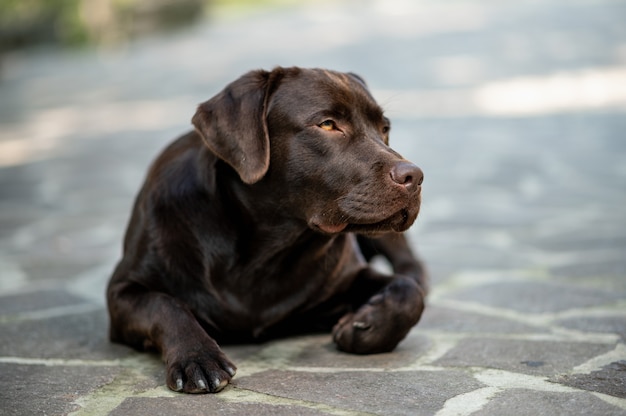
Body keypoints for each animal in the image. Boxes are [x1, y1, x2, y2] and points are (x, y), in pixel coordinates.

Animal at [106, 67, 424, 394]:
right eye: (327, 124)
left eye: (384, 128)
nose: (414, 176)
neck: (263, 250)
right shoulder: (121, 292)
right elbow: (166, 304)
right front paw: (197, 357)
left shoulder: (344, 281)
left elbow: (409, 293)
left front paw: (366, 326)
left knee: (411, 268)